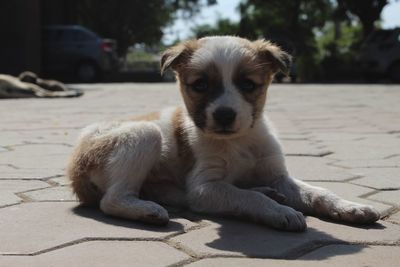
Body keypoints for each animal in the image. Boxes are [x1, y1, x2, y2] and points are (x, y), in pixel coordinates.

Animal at [67, 36, 380, 231]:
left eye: (248, 85)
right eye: (200, 85)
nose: (225, 115)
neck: (239, 142)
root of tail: (73, 169)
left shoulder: (276, 174)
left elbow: (319, 192)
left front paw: (348, 206)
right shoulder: (204, 186)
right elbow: (245, 198)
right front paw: (281, 212)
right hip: (144, 133)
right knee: (112, 200)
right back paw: (147, 211)